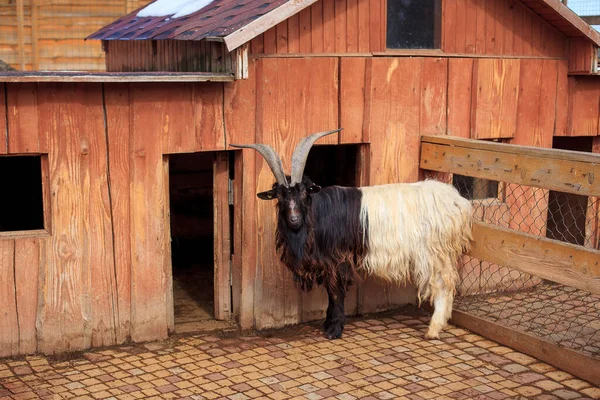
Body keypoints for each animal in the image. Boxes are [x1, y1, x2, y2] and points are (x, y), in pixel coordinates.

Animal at [230, 130, 474, 340]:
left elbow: (336, 292)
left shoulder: (338, 260)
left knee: (443, 284)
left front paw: (334, 329)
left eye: (304, 193)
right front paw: (328, 324)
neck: (317, 216)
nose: (294, 219)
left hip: (433, 253)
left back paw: (433, 330)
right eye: (279, 197)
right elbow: (330, 293)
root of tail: (457, 202)